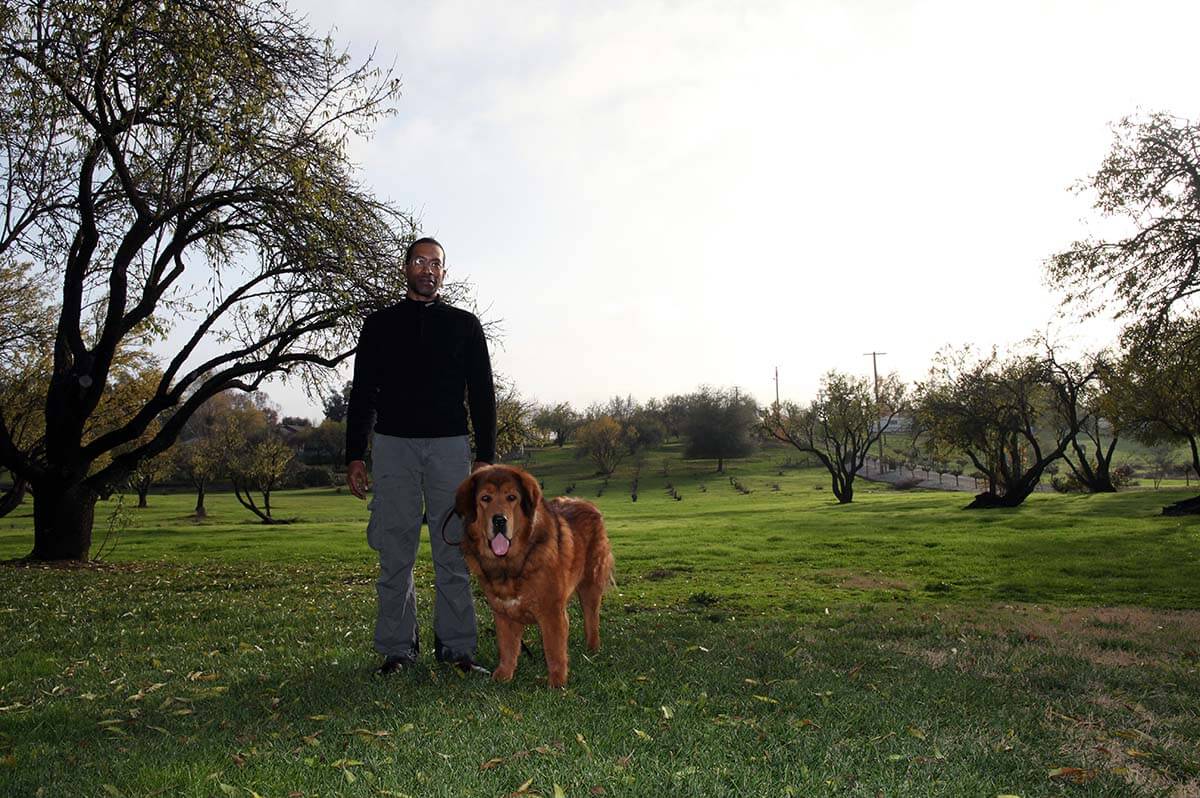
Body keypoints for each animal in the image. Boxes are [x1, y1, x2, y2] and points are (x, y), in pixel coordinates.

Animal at [453, 463, 614, 686]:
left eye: (511, 497)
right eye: (485, 498)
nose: (499, 520)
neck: (512, 563)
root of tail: (586, 503)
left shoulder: (552, 611)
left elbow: (554, 650)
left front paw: (556, 682)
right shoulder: (503, 613)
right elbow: (507, 647)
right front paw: (503, 676)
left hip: (590, 585)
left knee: (592, 620)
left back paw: (592, 649)